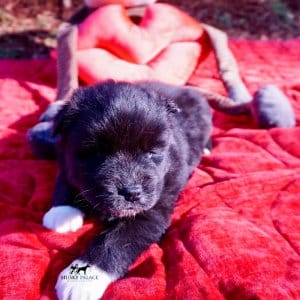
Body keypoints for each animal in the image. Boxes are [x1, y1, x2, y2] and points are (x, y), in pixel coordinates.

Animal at [42, 81, 211, 298]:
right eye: (97, 153)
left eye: (151, 153)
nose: (131, 192)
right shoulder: (66, 158)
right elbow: (65, 177)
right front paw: (62, 212)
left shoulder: (153, 209)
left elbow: (116, 241)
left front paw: (81, 281)